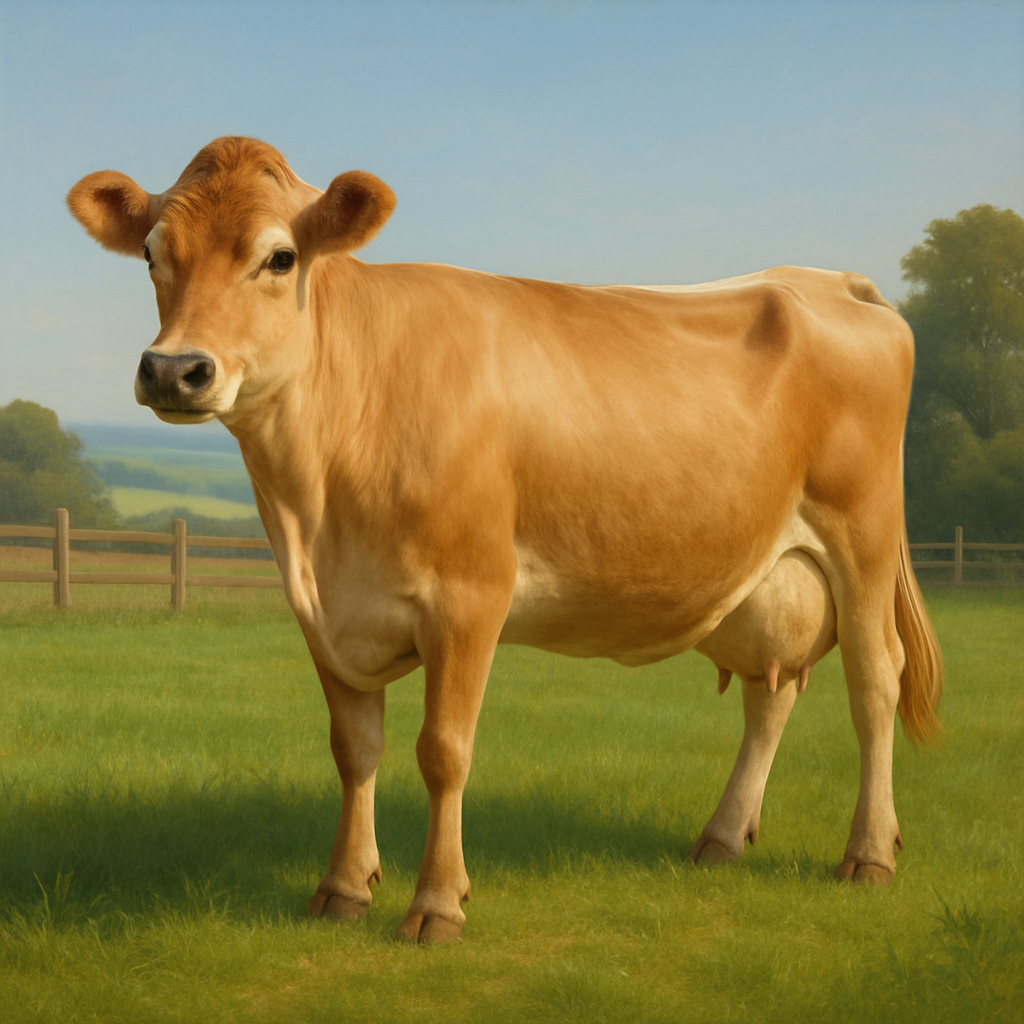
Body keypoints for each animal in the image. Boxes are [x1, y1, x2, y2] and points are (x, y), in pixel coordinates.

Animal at [67, 137, 943, 944]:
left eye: (279, 257)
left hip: (862, 536)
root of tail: (826, 279)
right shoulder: (324, 612)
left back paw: (869, 855)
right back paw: (722, 838)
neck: (316, 507)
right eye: (152, 254)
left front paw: (436, 903)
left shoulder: (469, 598)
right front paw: (344, 887)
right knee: (772, 692)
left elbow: (443, 750)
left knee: (876, 682)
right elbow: (354, 749)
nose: (174, 369)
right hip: (768, 577)